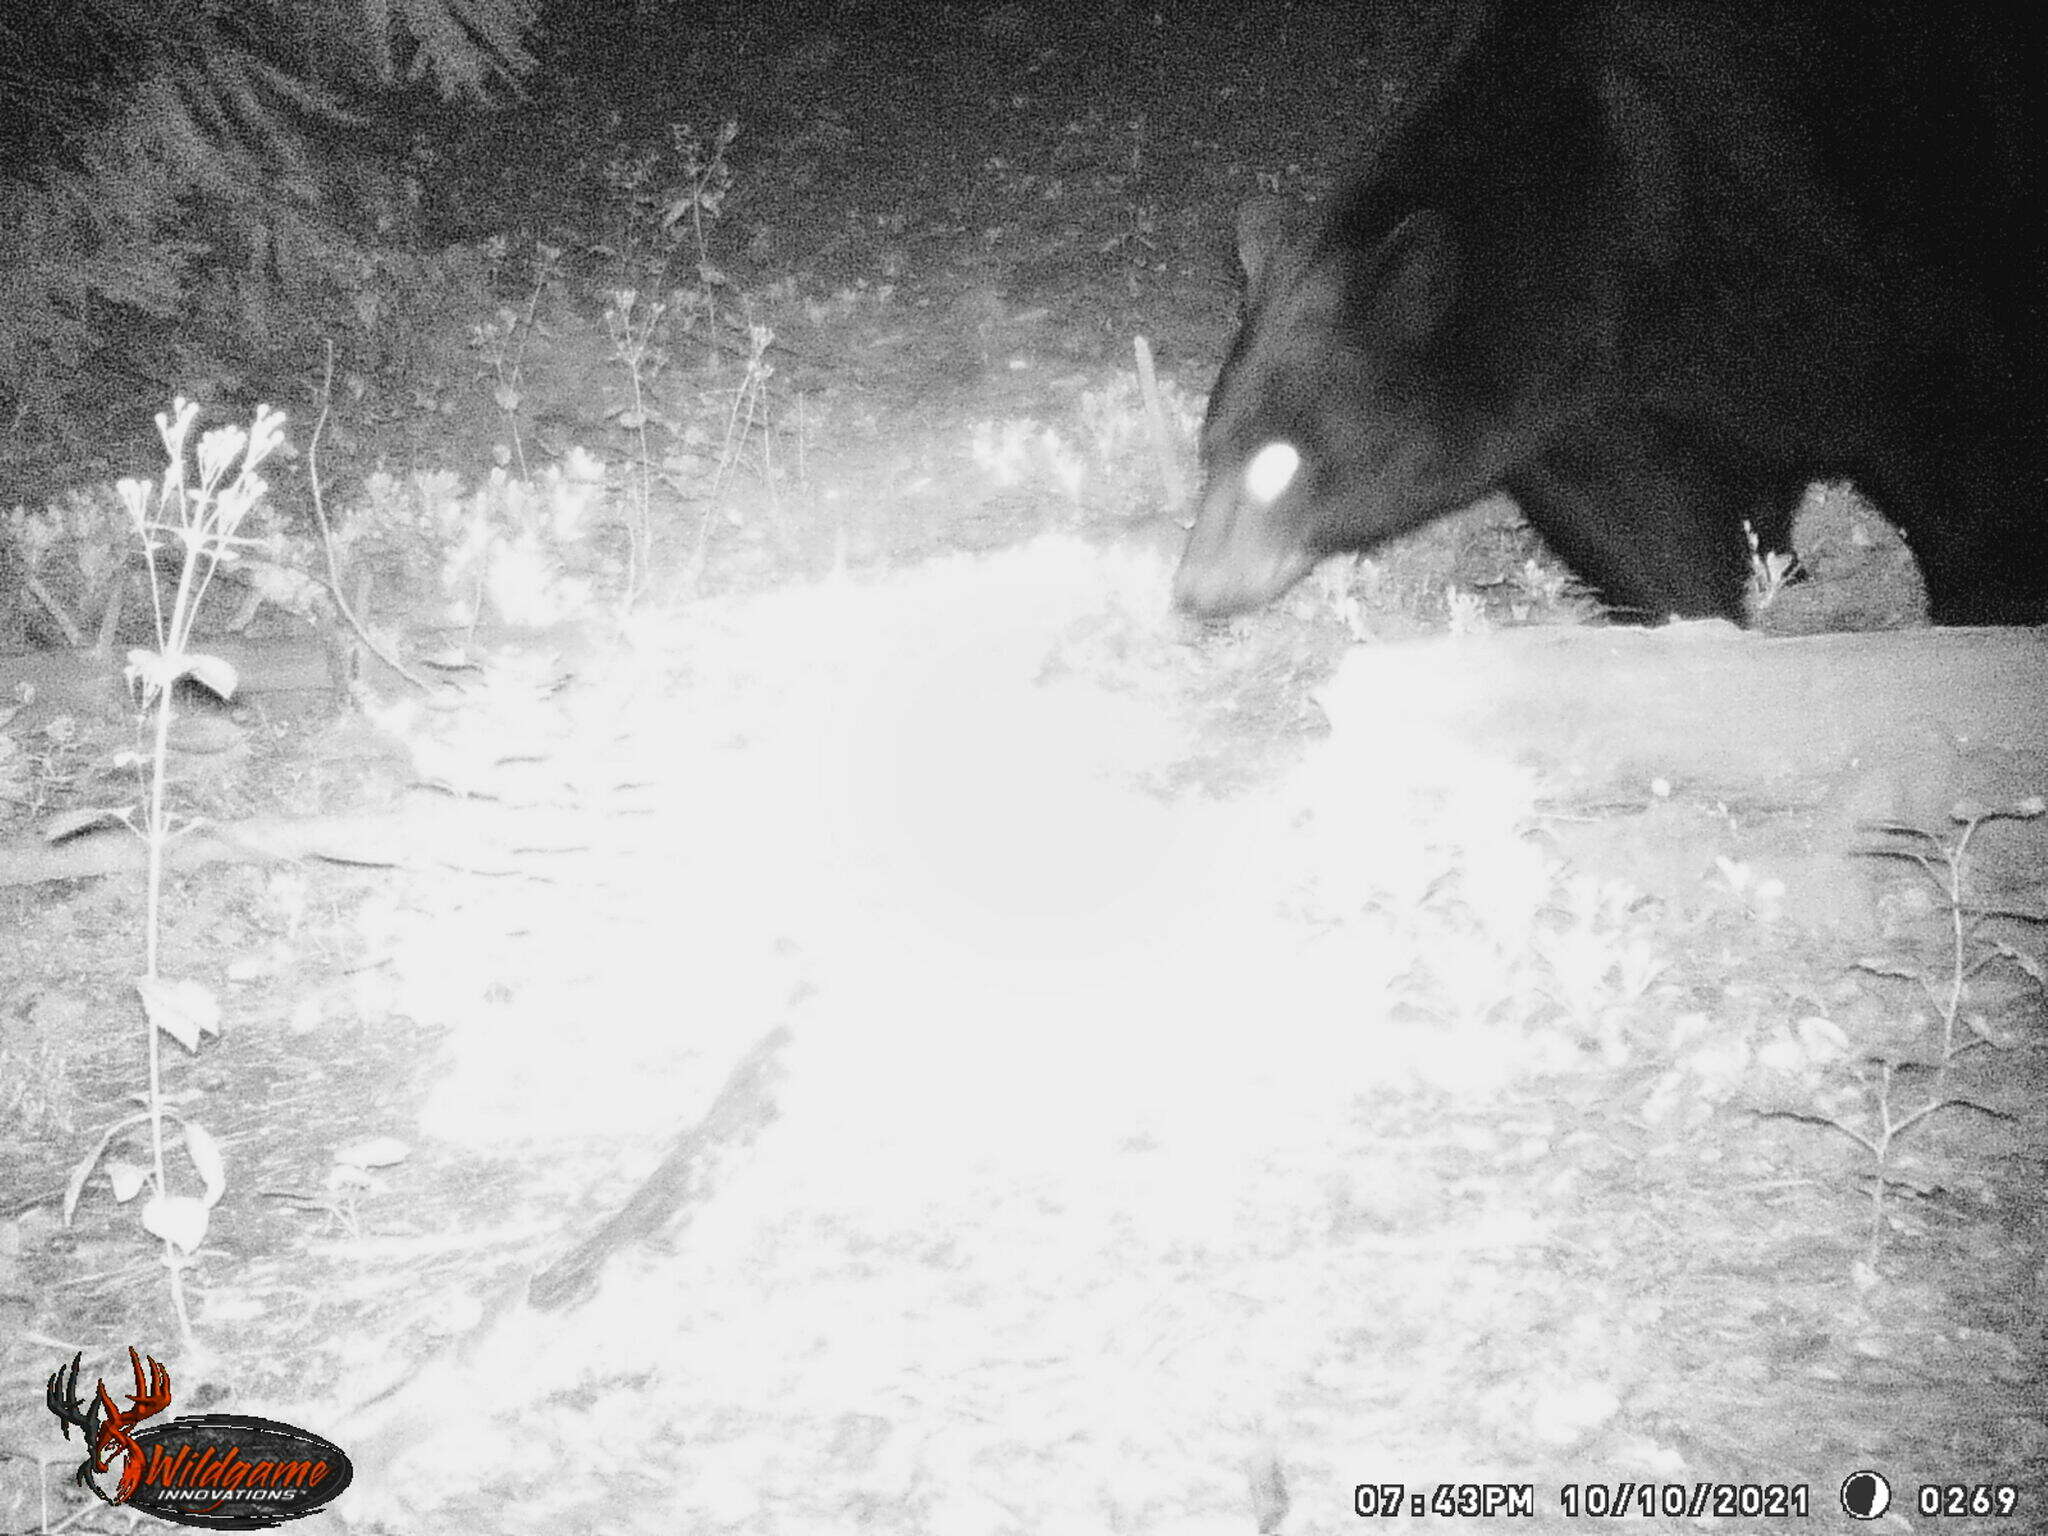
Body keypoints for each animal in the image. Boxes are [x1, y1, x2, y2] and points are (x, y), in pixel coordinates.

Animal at [1179, 1, 2039, 626]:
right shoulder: (1585, 392)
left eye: (1281, 462)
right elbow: (1631, 515)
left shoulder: (1853, 249)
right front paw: (1707, 619)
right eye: (1209, 450)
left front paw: (1990, 611)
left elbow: (1954, 433)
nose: (1194, 589)